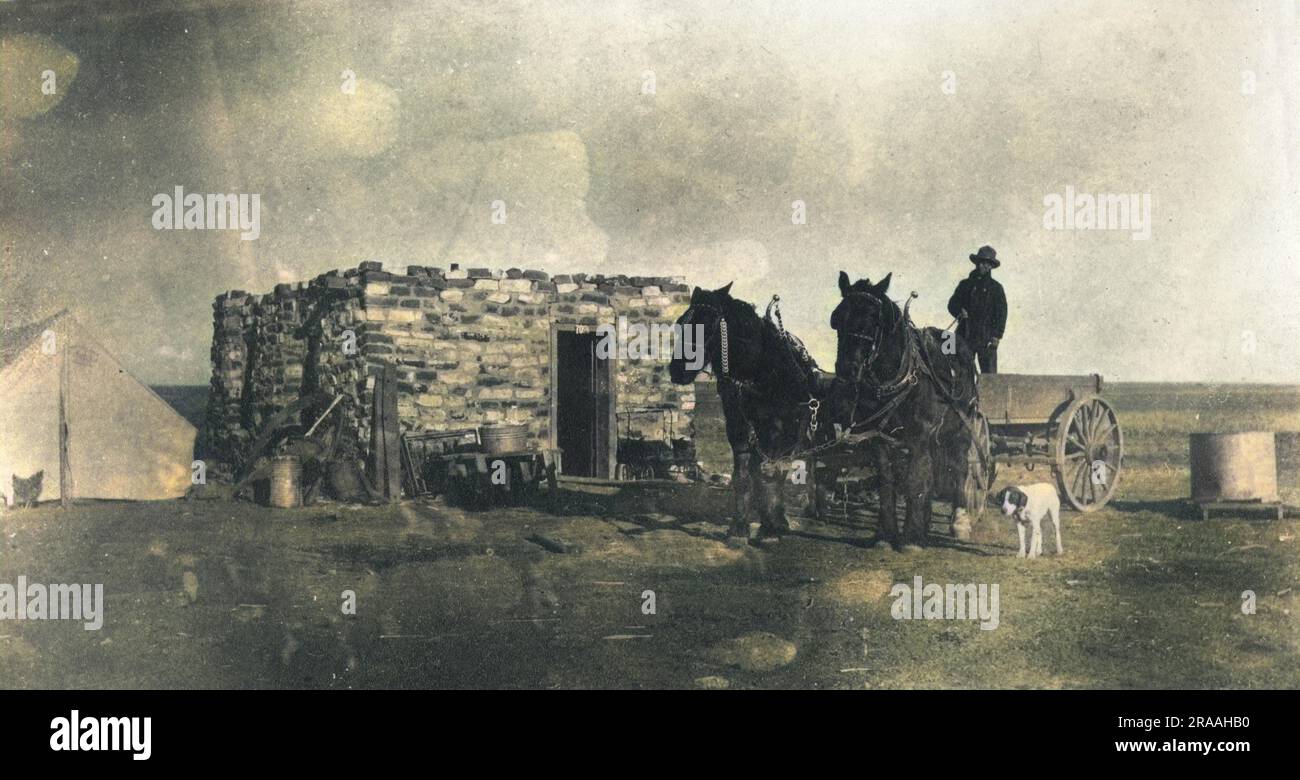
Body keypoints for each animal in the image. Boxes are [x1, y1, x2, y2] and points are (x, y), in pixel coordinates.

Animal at [676, 283, 826, 546]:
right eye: (680, 322)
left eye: (707, 324)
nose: (677, 370)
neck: (758, 370)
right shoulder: (737, 425)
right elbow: (743, 475)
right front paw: (739, 527)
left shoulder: (777, 426)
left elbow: (772, 473)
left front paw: (769, 528)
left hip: (795, 431)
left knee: (781, 468)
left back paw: (781, 517)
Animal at [832, 271, 977, 551]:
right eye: (838, 317)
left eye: (874, 319)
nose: (847, 368)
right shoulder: (878, 437)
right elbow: (887, 481)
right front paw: (886, 534)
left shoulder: (920, 435)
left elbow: (914, 479)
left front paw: (910, 538)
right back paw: (927, 523)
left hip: (961, 428)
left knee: (959, 466)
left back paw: (960, 521)